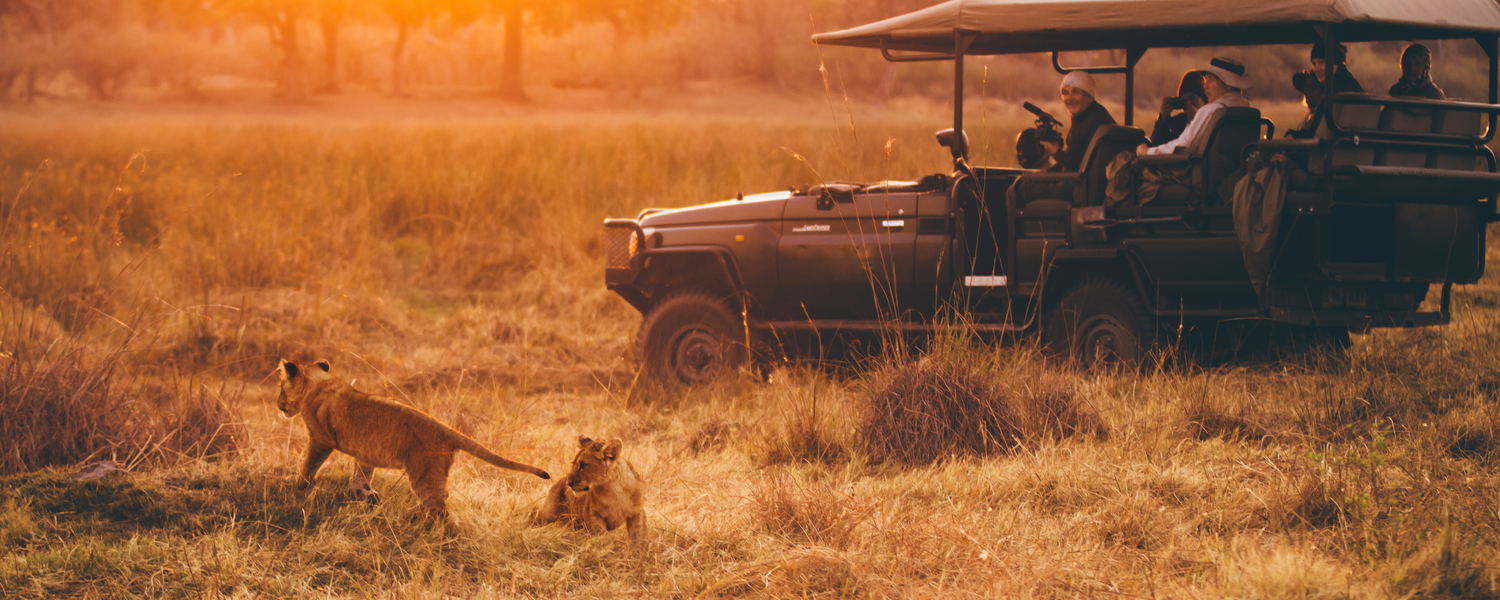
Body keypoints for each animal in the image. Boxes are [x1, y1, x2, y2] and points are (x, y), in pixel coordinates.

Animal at [275, 358, 549, 520]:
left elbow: (309, 467)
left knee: (439, 507)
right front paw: (367, 496)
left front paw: (298, 490)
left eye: (280, 388)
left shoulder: (321, 440)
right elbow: (360, 476)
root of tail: (447, 430)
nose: (278, 405)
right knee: (440, 500)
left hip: (423, 473)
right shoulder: (365, 451)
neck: (319, 383)